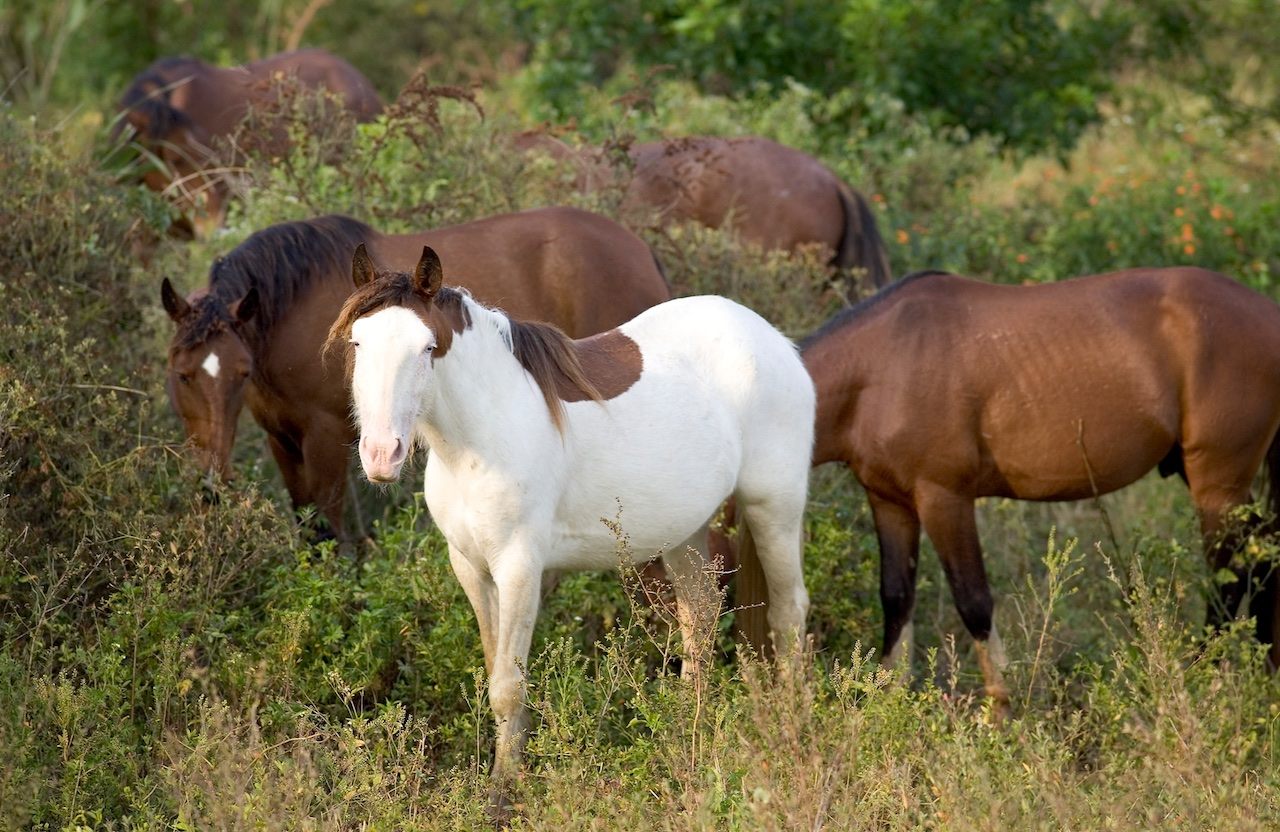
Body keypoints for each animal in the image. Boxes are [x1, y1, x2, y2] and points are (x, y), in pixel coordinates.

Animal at [160, 207, 670, 537]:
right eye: (182, 375)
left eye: (240, 373)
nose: (213, 483)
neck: (290, 310)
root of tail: (642, 250)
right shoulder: (281, 439)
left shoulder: (325, 439)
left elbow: (329, 528)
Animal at [330, 248, 808, 798]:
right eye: (358, 342)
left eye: (428, 348)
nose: (381, 455)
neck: (481, 438)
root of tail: (774, 341)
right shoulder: (470, 566)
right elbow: (494, 668)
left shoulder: (519, 569)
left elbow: (508, 687)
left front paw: (502, 792)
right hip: (684, 530)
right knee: (701, 613)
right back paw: (686, 726)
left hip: (774, 507)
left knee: (788, 613)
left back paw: (789, 728)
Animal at [803, 267, 1280, 711]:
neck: (883, 366)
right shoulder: (890, 502)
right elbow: (896, 598)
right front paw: (889, 703)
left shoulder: (944, 499)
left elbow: (973, 602)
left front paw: (1001, 711)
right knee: (1263, 554)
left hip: (1217, 484)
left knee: (1228, 577)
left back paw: (1204, 680)